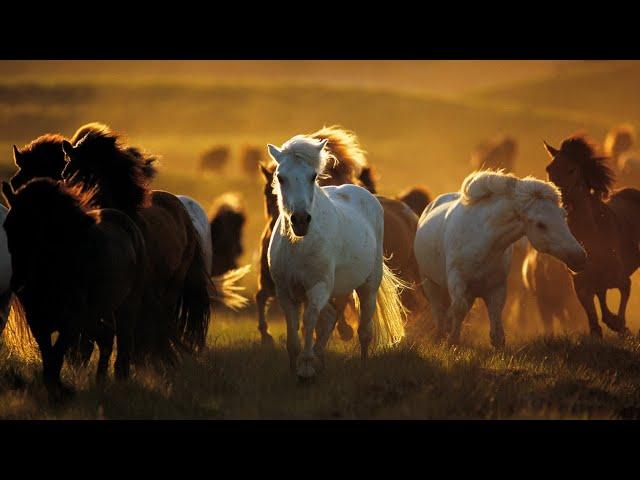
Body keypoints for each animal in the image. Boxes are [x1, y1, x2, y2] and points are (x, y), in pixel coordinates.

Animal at [264, 134, 404, 378]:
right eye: (280, 177)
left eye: (313, 176)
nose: (300, 220)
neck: (299, 245)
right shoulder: (285, 292)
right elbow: (294, 335)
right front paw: (296, 367)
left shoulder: (318, 287)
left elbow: (310, 320)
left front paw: (306, 367)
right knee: (330, 317)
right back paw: (321, 358)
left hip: (368, 287)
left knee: (364, 331)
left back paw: (362, 365)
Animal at [416, 171, 584, 346]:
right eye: (540, 224)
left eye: (564, 215)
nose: (580, 257)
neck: (484, 241)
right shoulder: (457, 279)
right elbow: (459, 308)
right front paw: (452, 341)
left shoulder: (496, 287)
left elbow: (496, 320)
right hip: (429, 282)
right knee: (438, 309)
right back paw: (441, 333)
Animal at [544, 135, 640, 338]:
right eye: (549, 169)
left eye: (572, 169)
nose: (556, 200)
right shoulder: (580, 282)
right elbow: (594, 317)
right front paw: (608, 325)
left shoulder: (620, 277)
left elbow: (624, 291)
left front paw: (621, 326)